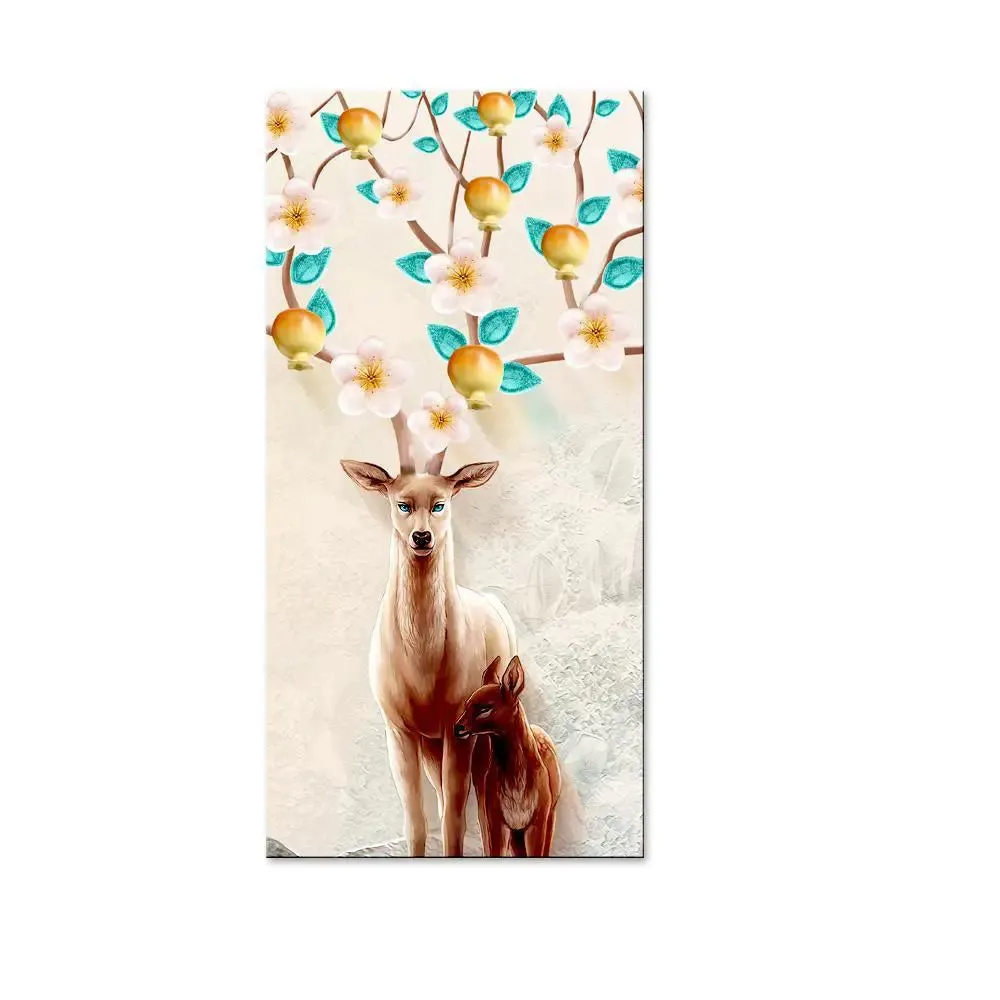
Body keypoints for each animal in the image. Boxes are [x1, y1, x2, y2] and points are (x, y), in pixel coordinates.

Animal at [340, 415, 517, 857]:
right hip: (431, 745)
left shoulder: (459, 727)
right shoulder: (399, 730)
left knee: (478, 801)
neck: (422, 668)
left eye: (442, 502)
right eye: (400, 502)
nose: (422, 537)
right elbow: (415, 821)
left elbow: (454, 817)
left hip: (474, 737)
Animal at [454, 655, 563, 857]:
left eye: (485, 708)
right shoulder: (497, 820)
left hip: (549, 815)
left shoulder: (537, 821)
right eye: (466, 705)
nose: (457, 728)